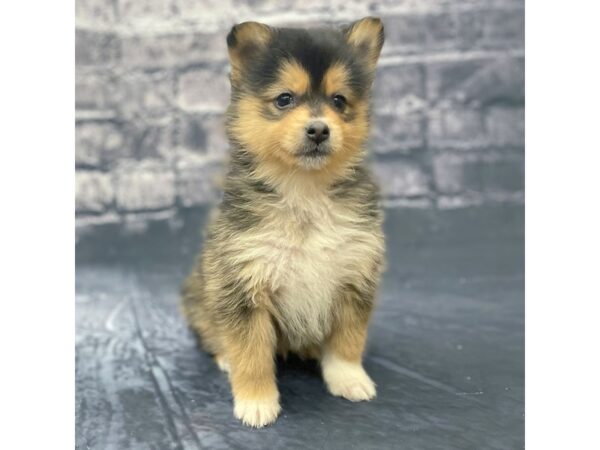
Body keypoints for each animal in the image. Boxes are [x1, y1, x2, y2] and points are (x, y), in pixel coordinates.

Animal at [182, 17, 384, 428]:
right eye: (284, 99)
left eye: (339, 101)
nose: (319, 129)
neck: (304, 191)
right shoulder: (243, 284)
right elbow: (252, 353)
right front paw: (256, 402)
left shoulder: (355, 275)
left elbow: (348, 340)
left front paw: (350, 379)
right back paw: (225, 357)